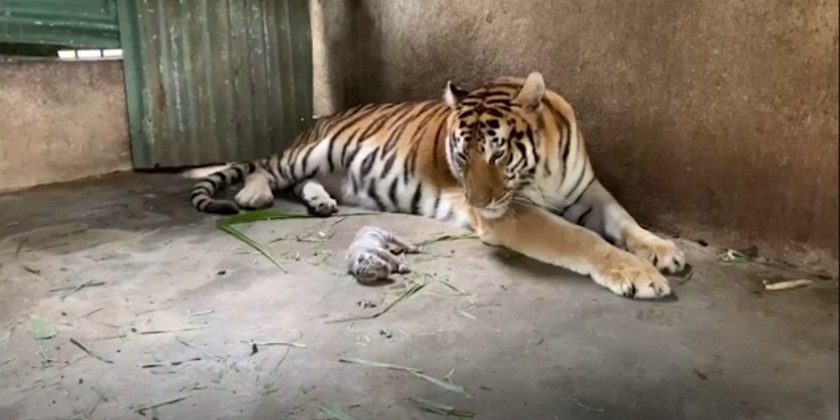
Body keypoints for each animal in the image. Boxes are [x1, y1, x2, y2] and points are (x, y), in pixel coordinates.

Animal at [186, 72, 686, 300]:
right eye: (462, 156)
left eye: (498, 153)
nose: (476, 201)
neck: (541, 170)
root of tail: (322, 118)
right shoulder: (512, 215)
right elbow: (580, 239)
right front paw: (639, 275)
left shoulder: (587, 191)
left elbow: (626, 222)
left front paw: (663, 251)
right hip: (312, 152)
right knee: (268, 169)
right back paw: (253, 194)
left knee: (302, 183)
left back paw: (321, 202)